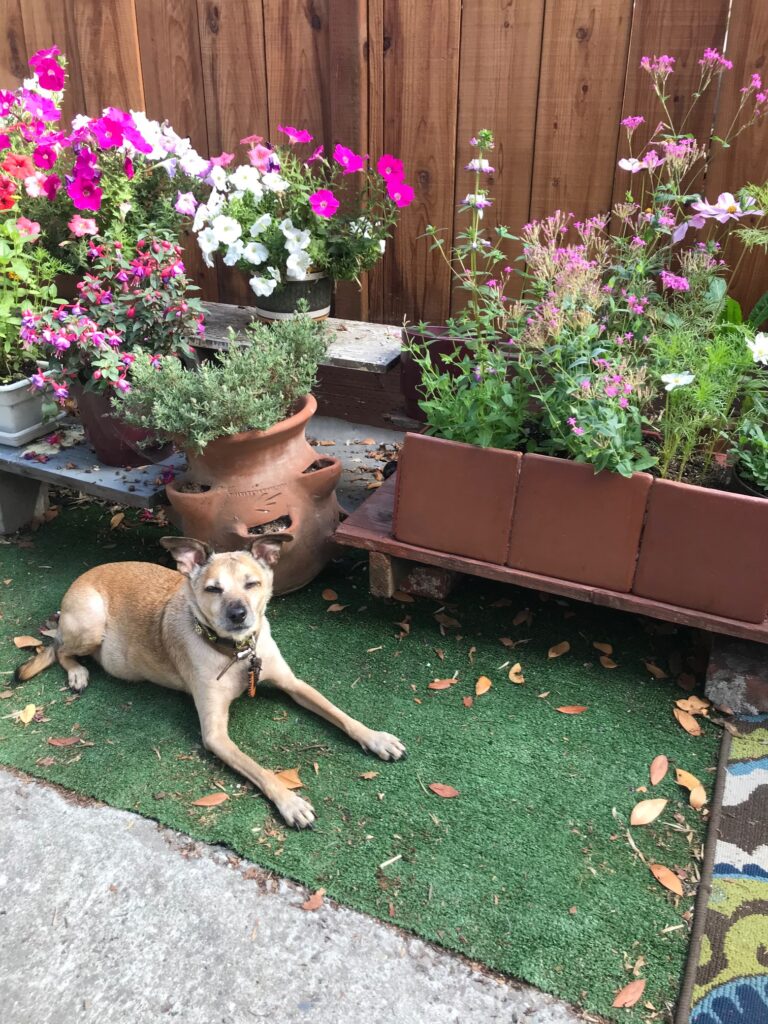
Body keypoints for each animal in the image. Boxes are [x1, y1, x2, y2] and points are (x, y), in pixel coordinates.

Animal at [15, 536, 405, 831]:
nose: (238, 613)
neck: (237, 653)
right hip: (90, 623)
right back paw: (77, 672)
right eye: (213, 589)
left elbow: (339, 714)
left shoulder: (294, 684)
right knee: (58, 648)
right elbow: (259, 769)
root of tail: (81, 578)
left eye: (252, 583)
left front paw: (376, 738)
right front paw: (290, 801)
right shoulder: (216, 735)